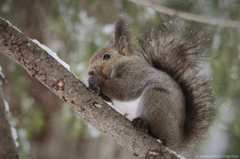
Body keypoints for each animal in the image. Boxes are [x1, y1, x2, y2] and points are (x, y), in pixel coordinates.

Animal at [87, 18, 214, 157]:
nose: (90, 71)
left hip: (155, 101)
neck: (121, 62)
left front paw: (97, 82)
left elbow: (124, 89)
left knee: (160, 136)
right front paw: (97, 90)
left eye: (106, 56)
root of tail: (177, 143)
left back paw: (143, 125)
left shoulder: (134, 74)